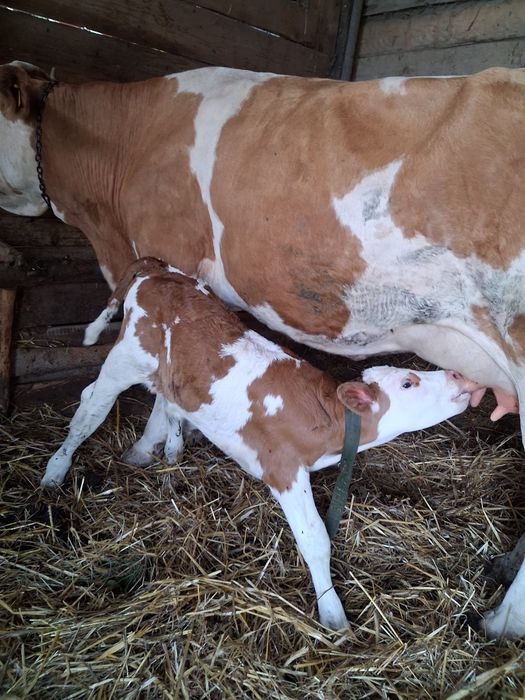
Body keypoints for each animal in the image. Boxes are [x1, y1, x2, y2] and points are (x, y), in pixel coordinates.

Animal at [41, 257, 479, 630]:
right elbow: (316, 540)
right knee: (88, 410)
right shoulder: (283, 469)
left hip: (169, 369)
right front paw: (332, 614)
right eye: (408, 382)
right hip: (125, 360)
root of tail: (161, 271)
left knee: (164, 399)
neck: (327, 419)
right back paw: (55, 472)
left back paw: (160, 449)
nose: (459, 375)